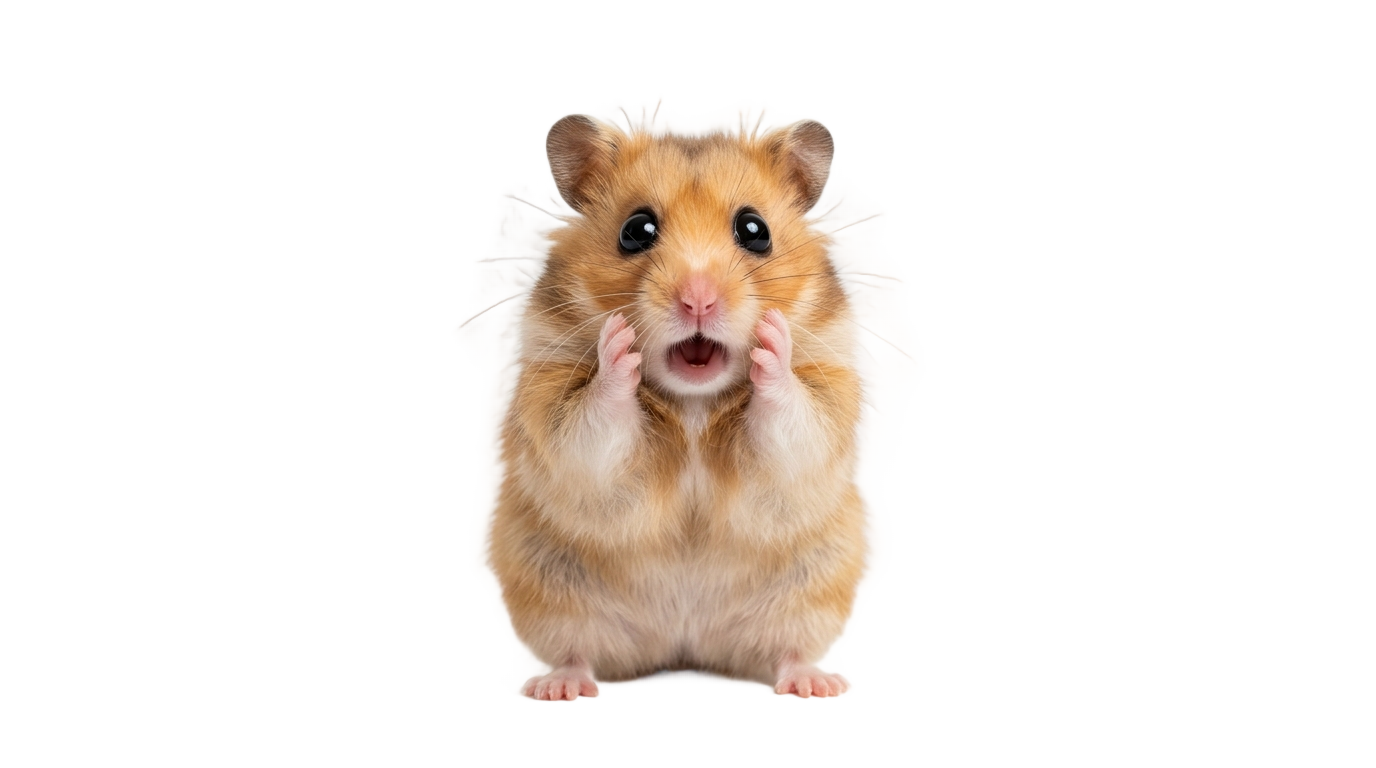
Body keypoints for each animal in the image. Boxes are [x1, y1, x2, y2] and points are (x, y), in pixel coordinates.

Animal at [486, 113, 865, 699]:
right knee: (578, 653)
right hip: (551, 590)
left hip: (813, 589)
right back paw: (562, 691)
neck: (693, 401)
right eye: (636, 230)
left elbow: (793, 424)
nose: (698, 300)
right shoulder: (549, 402)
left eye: (755, 230)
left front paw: (773, 345)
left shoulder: (827, 402)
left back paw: (815, 686)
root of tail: (684, 647)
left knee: (788, 651)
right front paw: (617, 347)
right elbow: (591, 429)